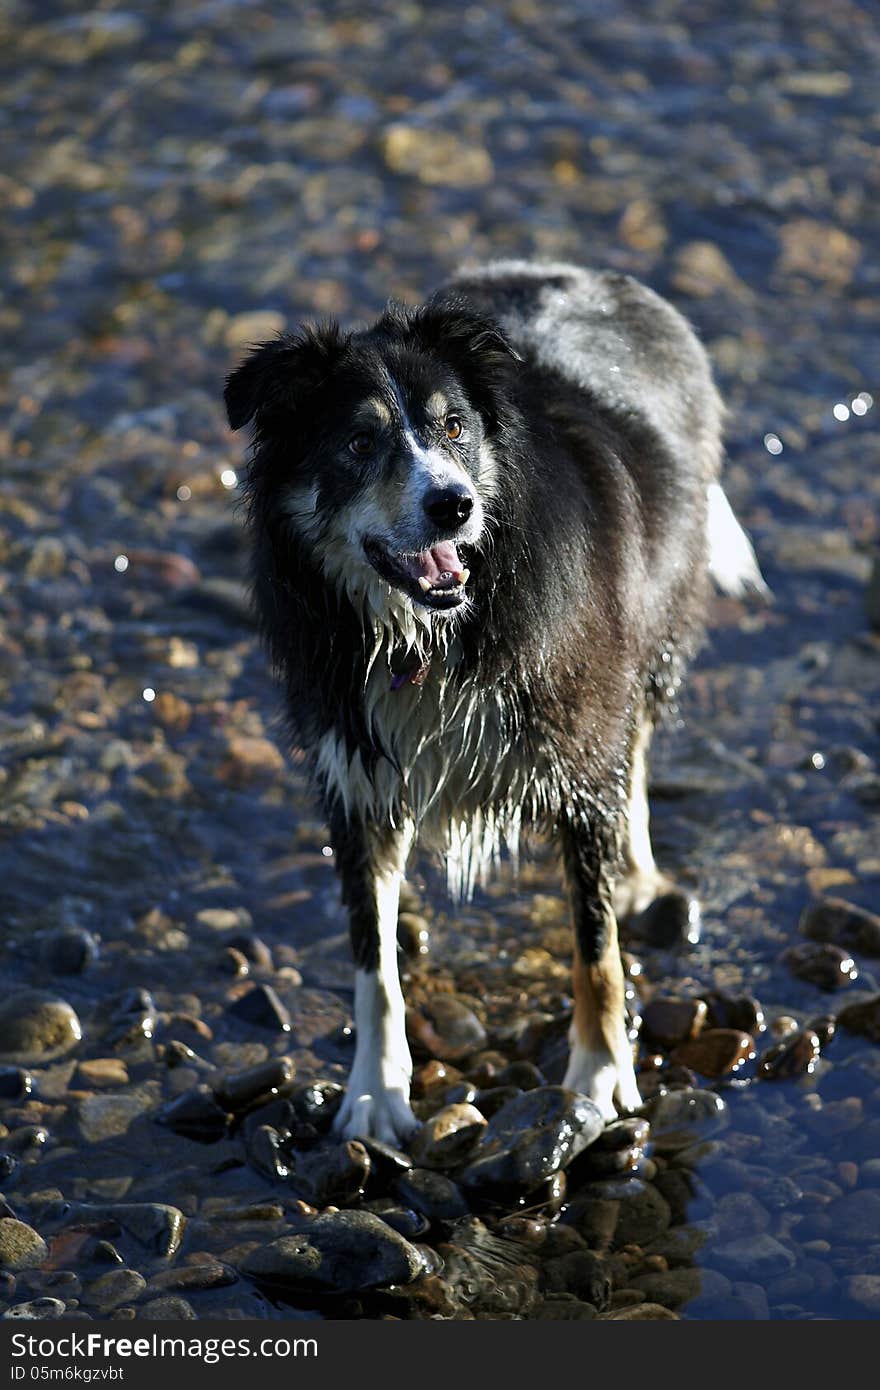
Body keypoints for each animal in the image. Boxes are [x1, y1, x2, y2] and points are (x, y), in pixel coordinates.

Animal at [222, 258, 767, 1139]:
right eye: (358, 441)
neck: (431, 636)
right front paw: (375, 1092)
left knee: (636, 756)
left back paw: (638, 874)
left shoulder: (580, 747)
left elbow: (595, 948)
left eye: (453, 429)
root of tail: (590, 274)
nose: (454, 505)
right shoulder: (357, 771)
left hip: (651, 641)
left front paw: (600, 1076)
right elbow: (371, 961)